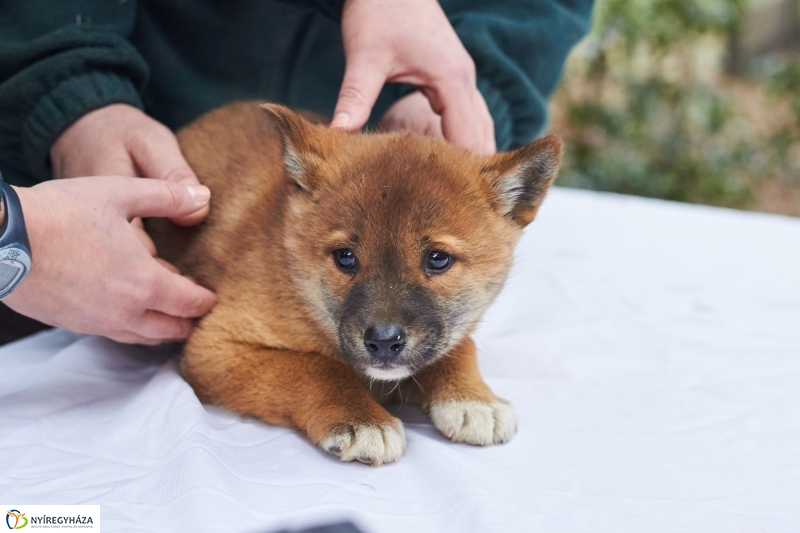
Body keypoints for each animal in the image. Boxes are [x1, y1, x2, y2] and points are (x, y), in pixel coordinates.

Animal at [150, 102, 564, 464]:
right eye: (345, 257)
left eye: (438, 259)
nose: (383, 341)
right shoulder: (215, 345)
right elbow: (314, 367)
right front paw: (362, 420)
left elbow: (461, 345)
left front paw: (472, 399)